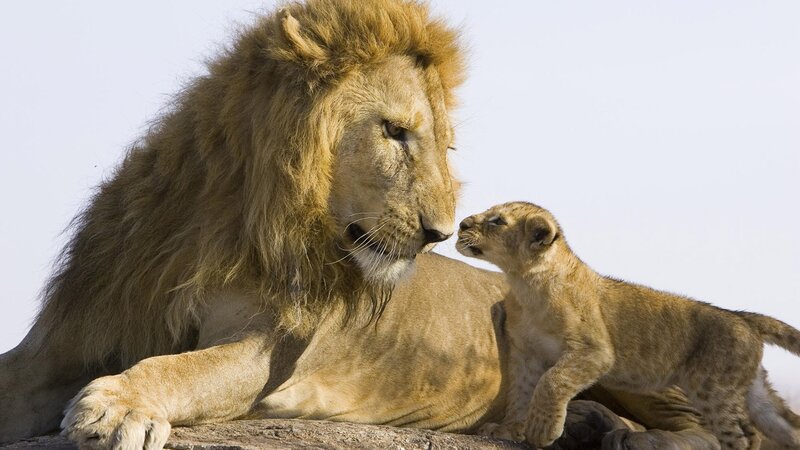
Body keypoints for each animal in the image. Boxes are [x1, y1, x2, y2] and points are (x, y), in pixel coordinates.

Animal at [0, 1, 751, 449]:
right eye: (394, 132)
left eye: (445, 143)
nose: (441, 232)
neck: (224, 220)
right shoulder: (68, 338)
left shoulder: (266, 351)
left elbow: (184, 367)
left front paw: (118, 404)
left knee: (707, 429)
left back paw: (634, 435)